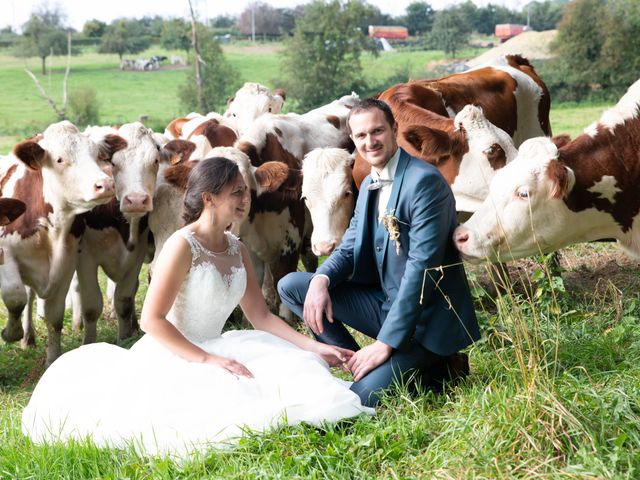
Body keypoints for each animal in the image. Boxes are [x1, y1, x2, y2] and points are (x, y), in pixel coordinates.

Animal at [0, 122, 123, 366]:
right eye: (59, 159)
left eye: (97, 155)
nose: (105, 184)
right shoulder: (5, 253)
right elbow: (15, 297)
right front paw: (11, 333)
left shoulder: (66, 262)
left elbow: (54, 317)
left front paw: (52, 358)